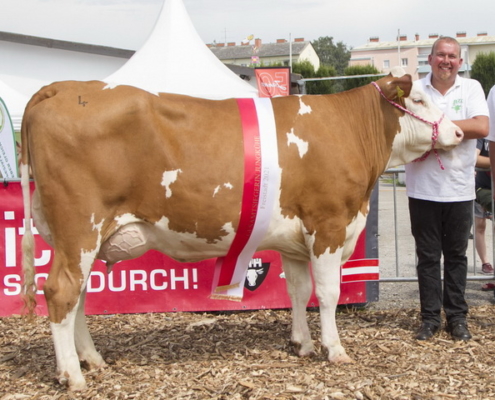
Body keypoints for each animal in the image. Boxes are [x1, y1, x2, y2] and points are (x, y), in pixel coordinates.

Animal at [21, 69, 464, 390]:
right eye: (419, 99)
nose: (459, 131)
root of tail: (63, 87)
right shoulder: (328, 224)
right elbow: (327, 293)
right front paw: (334, 349)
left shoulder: (295, 239)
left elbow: (298, 291)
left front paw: (302, 343)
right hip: (80, 228)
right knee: (61, 292)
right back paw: (72, 375)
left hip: (74, 238)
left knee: (77, 298)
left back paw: (91, 360)